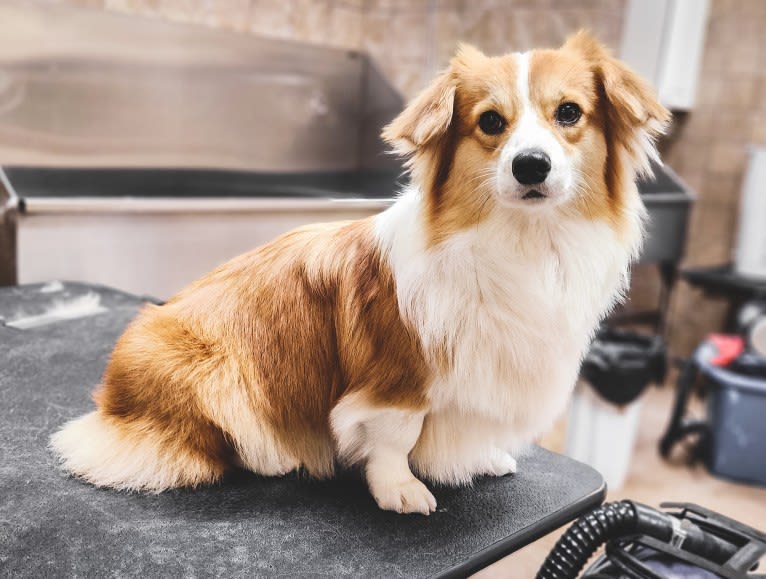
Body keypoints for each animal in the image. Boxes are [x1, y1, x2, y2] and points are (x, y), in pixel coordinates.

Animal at [51, 31, 668, 516]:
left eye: (569, 113)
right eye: (491, 122)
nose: (530, 165)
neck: (526, 243)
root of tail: (109, 402)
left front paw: (486, 457)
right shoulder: (399, 379)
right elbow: (396, 440)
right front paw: (400, 490)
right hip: (214, 370)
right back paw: (275, 457)